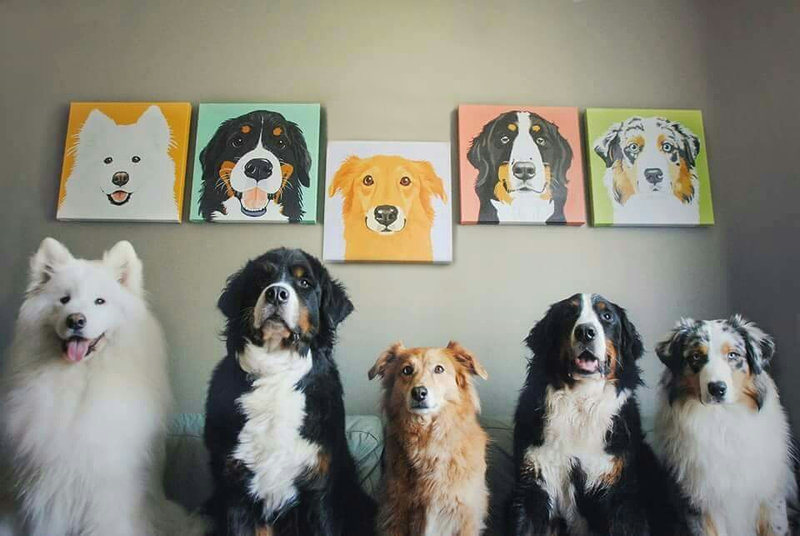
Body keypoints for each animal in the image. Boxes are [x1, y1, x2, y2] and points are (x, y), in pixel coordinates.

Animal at [0, 238, 204, 536]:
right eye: (64, 299)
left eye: (100, 301)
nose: (76, 320)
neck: (79, 379)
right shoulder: (46, 492)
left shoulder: (108, 493)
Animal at [203, 247, 376, 535]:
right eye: (262, 279)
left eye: (304, 282)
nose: (276, 293)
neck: (276, 372)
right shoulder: (235, 488)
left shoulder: (318, 487)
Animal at [368, 341, 489, 536]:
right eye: (407, 370)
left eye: (439, 369)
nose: (419, 392)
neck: (427, 444)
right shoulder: (395, 513)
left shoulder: (465, 517)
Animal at [508, 293, 687, 535]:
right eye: (569, 313)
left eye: (607, 316)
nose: (585, 332)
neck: (581, 403)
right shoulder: (533, 485)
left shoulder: (620, 494)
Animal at [654, 316, 799, 535]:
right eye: (696, 356)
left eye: (733, 355)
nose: (717, 389)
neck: (723, 420)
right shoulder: (700, 504)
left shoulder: (770, 498)